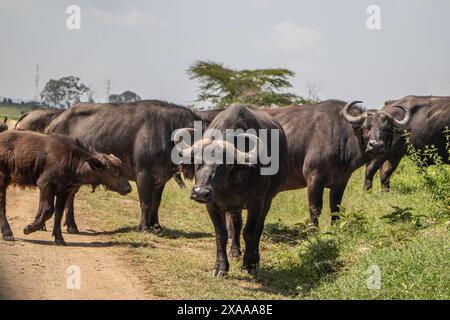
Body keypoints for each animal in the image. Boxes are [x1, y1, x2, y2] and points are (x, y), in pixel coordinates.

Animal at [0, 130, 131, 245]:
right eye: (114, 172)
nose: (129, 188)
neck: (72, 160)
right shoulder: (46, 185)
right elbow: (48, 210)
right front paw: (29, 228)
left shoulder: (64, 191)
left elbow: (59, 213)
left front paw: (59, 238)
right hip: (2, 180)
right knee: (2, 204)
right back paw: (7, 233)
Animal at [45, 100, 202, 235]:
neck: (167, 134)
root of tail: (53, 124)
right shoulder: (143, 175)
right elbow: (146, 202)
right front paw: (144, 227)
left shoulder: (161, 179)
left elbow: (156, 203)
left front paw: (156, 226)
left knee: (70, 195)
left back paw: (71, 226)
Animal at [177, 104, 288, 276]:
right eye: (198, 163)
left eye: (223, 166)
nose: (200, 192)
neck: (229, 185)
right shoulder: (212, 204)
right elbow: (221, 233)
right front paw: (221, 267)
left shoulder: (257, 202)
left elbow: (250, 232)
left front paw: (250, 264)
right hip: (235, 207)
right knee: (236, 224)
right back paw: (235, 251)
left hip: (268, 199)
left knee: (258, 227)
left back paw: (254, 257)